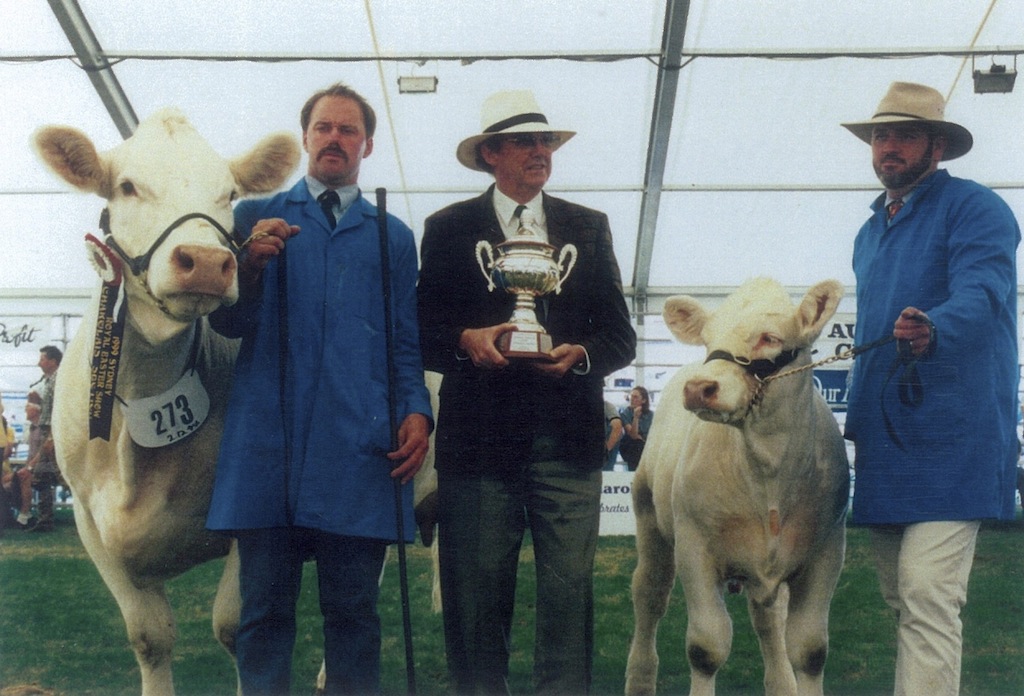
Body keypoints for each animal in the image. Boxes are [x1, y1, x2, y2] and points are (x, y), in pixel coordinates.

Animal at [35, 110, 299, 696]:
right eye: (128, 186)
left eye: (229, 194)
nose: (203, 262)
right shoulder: (89, 521)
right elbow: (150, 638)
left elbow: (236, 628)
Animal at [622, 276, 847, 696]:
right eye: (707, 339)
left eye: (769, 337)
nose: (700, 387)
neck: (769, 474)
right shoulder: (694, 547)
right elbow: (706, 648)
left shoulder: (826, 550)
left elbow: (809, 649)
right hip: (648, 517)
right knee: (649, 595)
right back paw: (640, 679)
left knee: (768, 619)